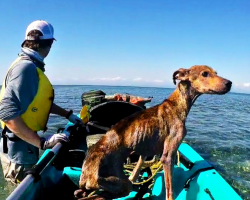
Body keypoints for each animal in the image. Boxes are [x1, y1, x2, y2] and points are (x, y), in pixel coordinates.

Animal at [74, 65, 232, 199]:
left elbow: (138, 168)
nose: (229, 83)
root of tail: (85, 172)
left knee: (83, 193)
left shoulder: (145, 152)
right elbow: (169, 191)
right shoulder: (167, 157)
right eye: (205, 73)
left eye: (216, 72)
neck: (176, 104)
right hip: (121, 184)